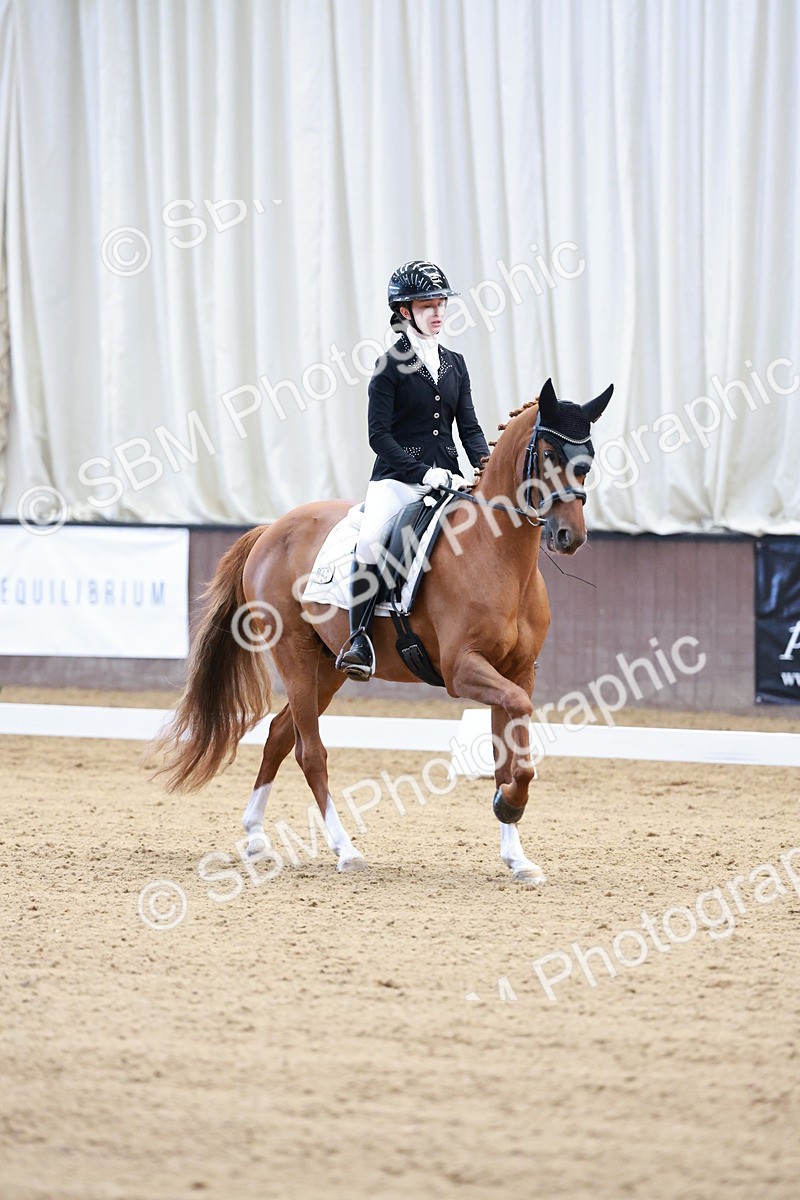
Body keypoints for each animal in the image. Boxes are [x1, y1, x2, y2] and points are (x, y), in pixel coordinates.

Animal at [153, 378, 613, 883]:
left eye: (589, 456)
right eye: (548, 452)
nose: (570, 536)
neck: (497, 556)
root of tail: (271, 529)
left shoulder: (517, 671)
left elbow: (507, 752)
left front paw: (517, 853)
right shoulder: (462, 669)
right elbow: (516, 728)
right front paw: (509, 805)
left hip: (328, 667)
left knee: (279, 734)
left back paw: (255, 837)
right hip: (293, 655)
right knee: (310, 751)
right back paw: (345, 850)